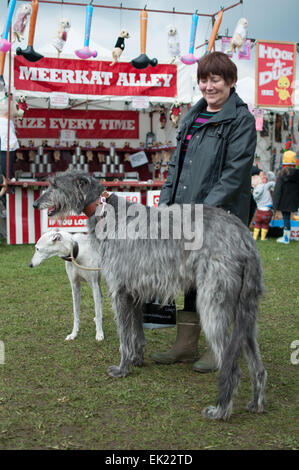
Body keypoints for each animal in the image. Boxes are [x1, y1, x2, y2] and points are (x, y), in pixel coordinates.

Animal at [34, 171, 268, 420]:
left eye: (55, 185)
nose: (35, 204)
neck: (106, 211)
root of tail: (244, 237)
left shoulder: (119, 291)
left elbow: (124, 337)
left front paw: (122, 368)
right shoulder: (135, 293)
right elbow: (137, 332)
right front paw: (137, 360)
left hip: (213, 303)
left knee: (233, 368)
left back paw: (220, 410)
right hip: (246, 310)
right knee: (257, 365)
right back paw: (256, 403)